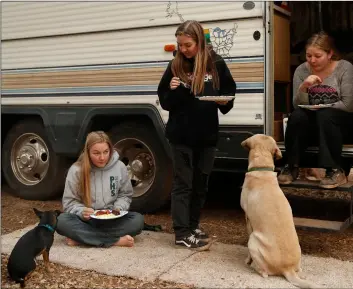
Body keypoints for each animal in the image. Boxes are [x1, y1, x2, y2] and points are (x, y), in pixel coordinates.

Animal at [241, 134, 318, 286]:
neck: (262, 168)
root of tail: (287, 269)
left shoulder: (248, 219)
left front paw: (247, 260)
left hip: (253, 239)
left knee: (264, 273)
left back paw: (255, 267)